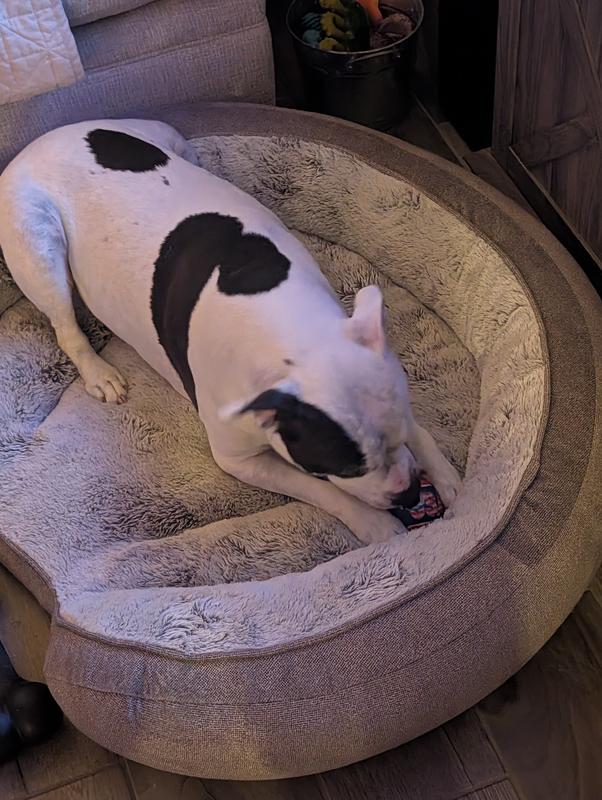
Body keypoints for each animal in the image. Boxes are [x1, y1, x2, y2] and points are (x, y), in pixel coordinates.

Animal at [0, 119, 461, 545]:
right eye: (347, 466)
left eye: (398, 434)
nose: (408, 494)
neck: (293, 332)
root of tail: (35, 144)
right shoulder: (238, 459)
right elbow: (323, 491)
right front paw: (374, 523)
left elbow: (418, 429)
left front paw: (446, 475)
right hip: (37, 241)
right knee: (65, 325)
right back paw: (99, 373)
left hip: (170, 138)